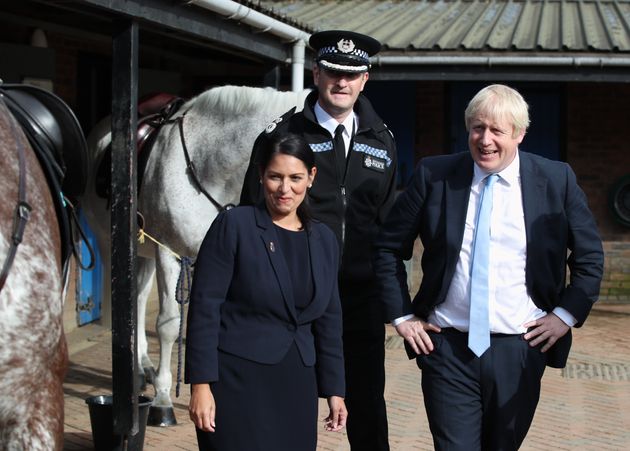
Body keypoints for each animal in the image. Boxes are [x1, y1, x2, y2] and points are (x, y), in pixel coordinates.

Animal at [83, 85, 312, 428]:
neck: (206, 165)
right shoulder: (168, 250)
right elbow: (168, 323)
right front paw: (163, 401)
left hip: (143, 250)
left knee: (138, 298)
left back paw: (141, 367)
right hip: (112, 241)